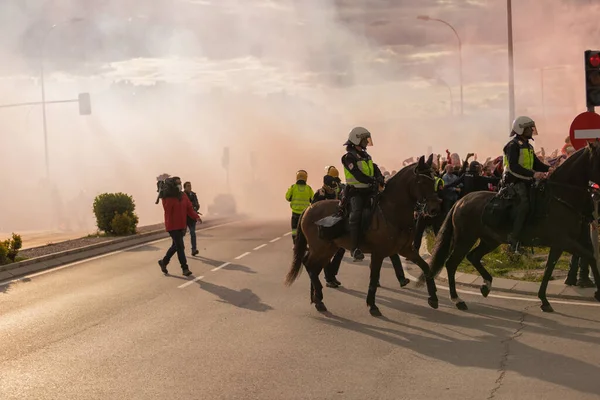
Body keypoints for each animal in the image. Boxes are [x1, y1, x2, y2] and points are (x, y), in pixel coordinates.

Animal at [284, 155, 442, 318]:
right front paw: (372, 305)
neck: (392, 211)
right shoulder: (378, 253)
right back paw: (319, 296)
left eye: (434, 181)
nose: (435, 208)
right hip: (319, 248)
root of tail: (308, 209)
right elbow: (374, 278)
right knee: (308, 265)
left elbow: (426, 267)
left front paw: (433, 298)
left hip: (328, 249)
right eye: (422, 182)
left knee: (314, 268)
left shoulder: (406, 250)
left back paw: (317, 299)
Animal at [420, 141, 600, 312]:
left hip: (490, 240)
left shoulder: (560, 244)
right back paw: (457, 299)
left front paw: (544, 300)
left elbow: (551, 268)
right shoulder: (565, 241)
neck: (561, 197)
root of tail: (460, 202)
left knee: (473, 257)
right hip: (465, 239)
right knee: (452, 264)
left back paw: (486, 285)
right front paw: (597, 292)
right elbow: (589, 256)